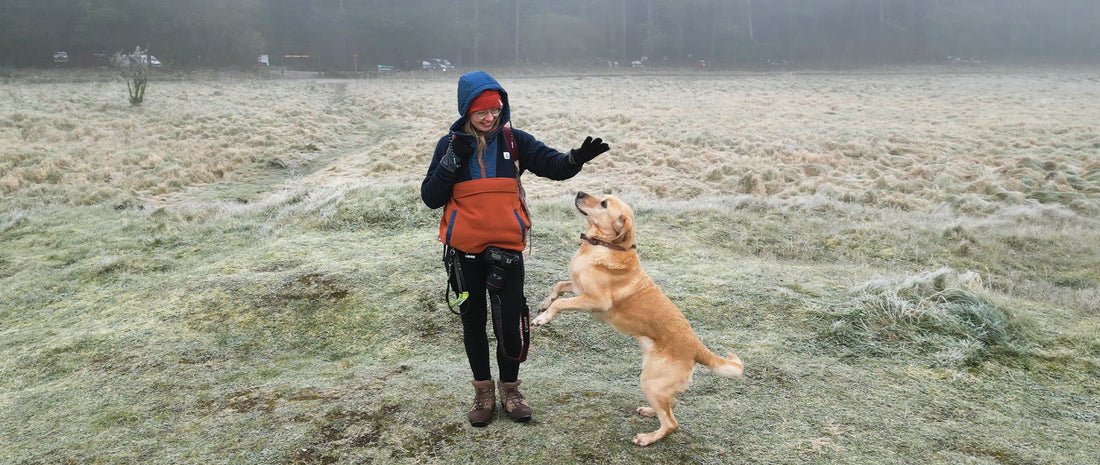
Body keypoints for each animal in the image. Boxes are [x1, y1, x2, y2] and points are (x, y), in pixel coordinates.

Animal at [530, 191, 743, 446]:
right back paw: (651, 411)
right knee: (670, 404)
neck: (604, 245)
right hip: (654, 380)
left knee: (671, 423)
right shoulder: (578, 289)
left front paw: (543, 318)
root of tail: (696, 347)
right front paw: (545, 303)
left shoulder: (595, 300)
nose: (580, 193)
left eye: (603, 204)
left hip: (650, 381)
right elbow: (559, 287)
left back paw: (648, 438)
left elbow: (561, 303)